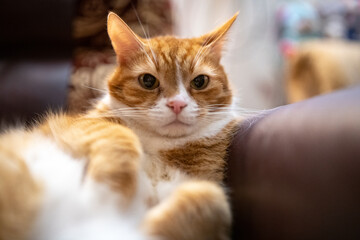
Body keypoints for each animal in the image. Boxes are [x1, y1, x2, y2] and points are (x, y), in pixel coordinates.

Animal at [1, 11, 240, 240]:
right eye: (148, 81)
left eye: (200, 82)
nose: (177, 104)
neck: (158, 146)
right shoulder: (70, 127)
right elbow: (121, 135)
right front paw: (107, 194)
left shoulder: (206, 186)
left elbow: (212, 199)